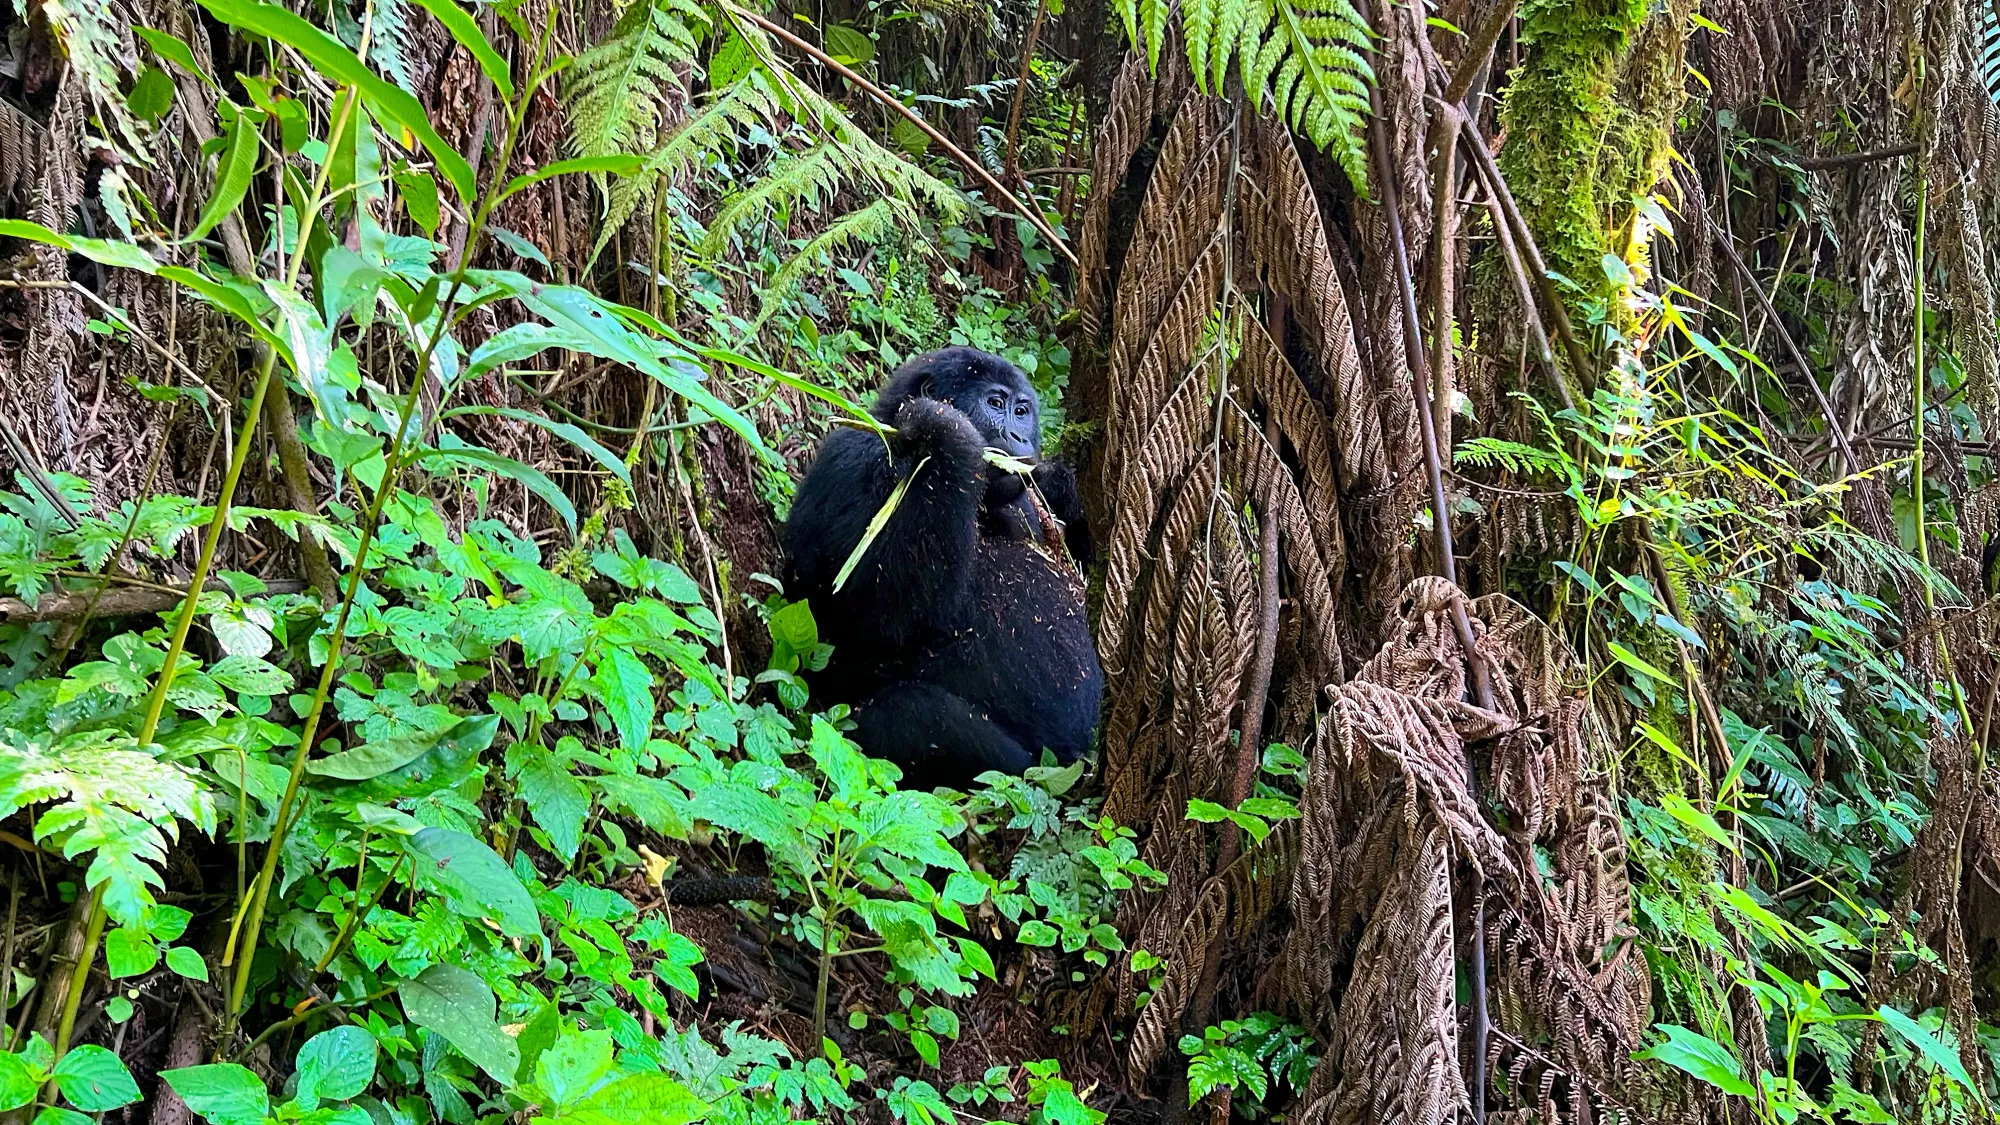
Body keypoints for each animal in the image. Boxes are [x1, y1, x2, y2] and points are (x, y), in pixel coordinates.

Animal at [780, 346, 1104, 784]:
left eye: (1022, 411)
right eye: (996, 403)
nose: (1019, 436)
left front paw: (1061, 483)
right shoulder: (856, 457)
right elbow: (874, 619)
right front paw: (948, 433)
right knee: (904, 716)